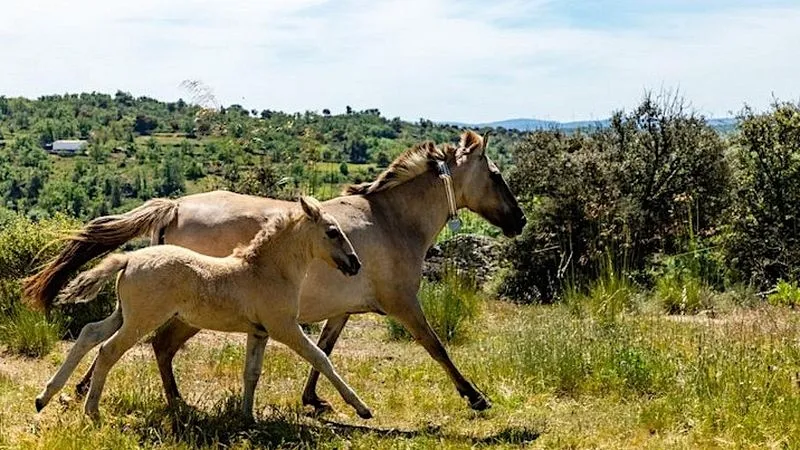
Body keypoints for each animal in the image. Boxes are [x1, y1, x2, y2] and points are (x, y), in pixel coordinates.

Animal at [34, 197, 372, 420]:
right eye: (332, 231)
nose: (355, 263)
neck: (266, 271)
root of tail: (129, 259)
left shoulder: (259, 332)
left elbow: (251, 372)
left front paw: (246, 417)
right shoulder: (285, 327)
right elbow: (321, 359)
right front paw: (361, 408)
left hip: (123, 315)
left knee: (89, 334)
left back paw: (44, 397)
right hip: (141, 320)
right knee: (107, 350)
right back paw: (92, 411)